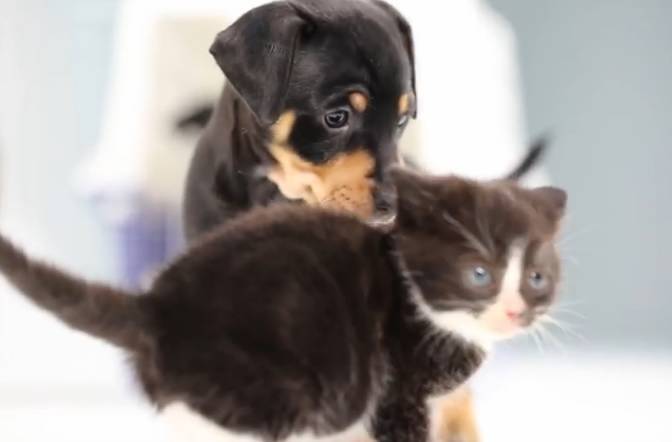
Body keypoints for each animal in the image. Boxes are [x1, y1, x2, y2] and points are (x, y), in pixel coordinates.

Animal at [0, 168, 568, 442]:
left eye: (537, 278)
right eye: (480, 274)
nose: (516, 311)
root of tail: (157, 306)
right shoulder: (398, 391)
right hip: (275, 388)